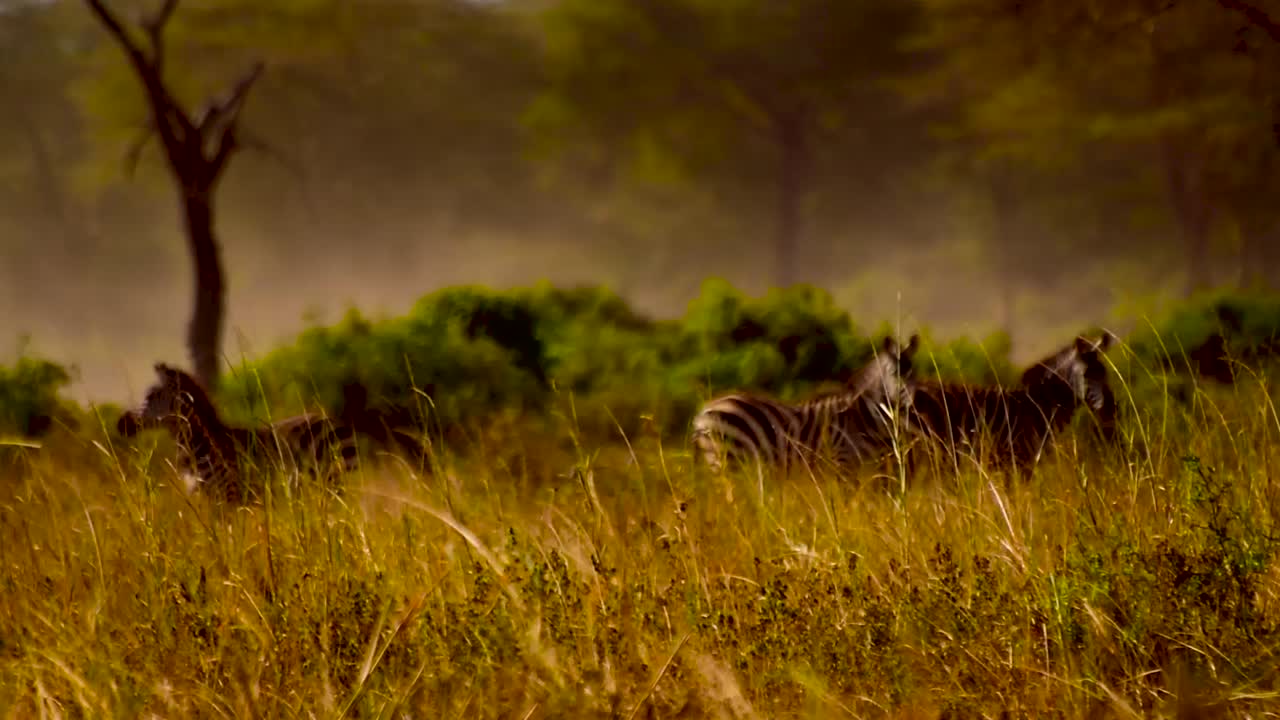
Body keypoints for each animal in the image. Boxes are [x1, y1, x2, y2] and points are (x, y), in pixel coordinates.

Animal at [116, 363, 360, 505]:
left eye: (150, 397)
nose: (121, 424)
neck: (201, 446)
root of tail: (331, 419)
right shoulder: (208, 501)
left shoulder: (230, 498)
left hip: (335, 480)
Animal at [691, 334, 920, 480]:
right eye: (895, 374)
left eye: (914, 373)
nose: (914, 404)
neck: (861, 417)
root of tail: (703, 412)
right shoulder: (842, 463)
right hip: (728, 459)